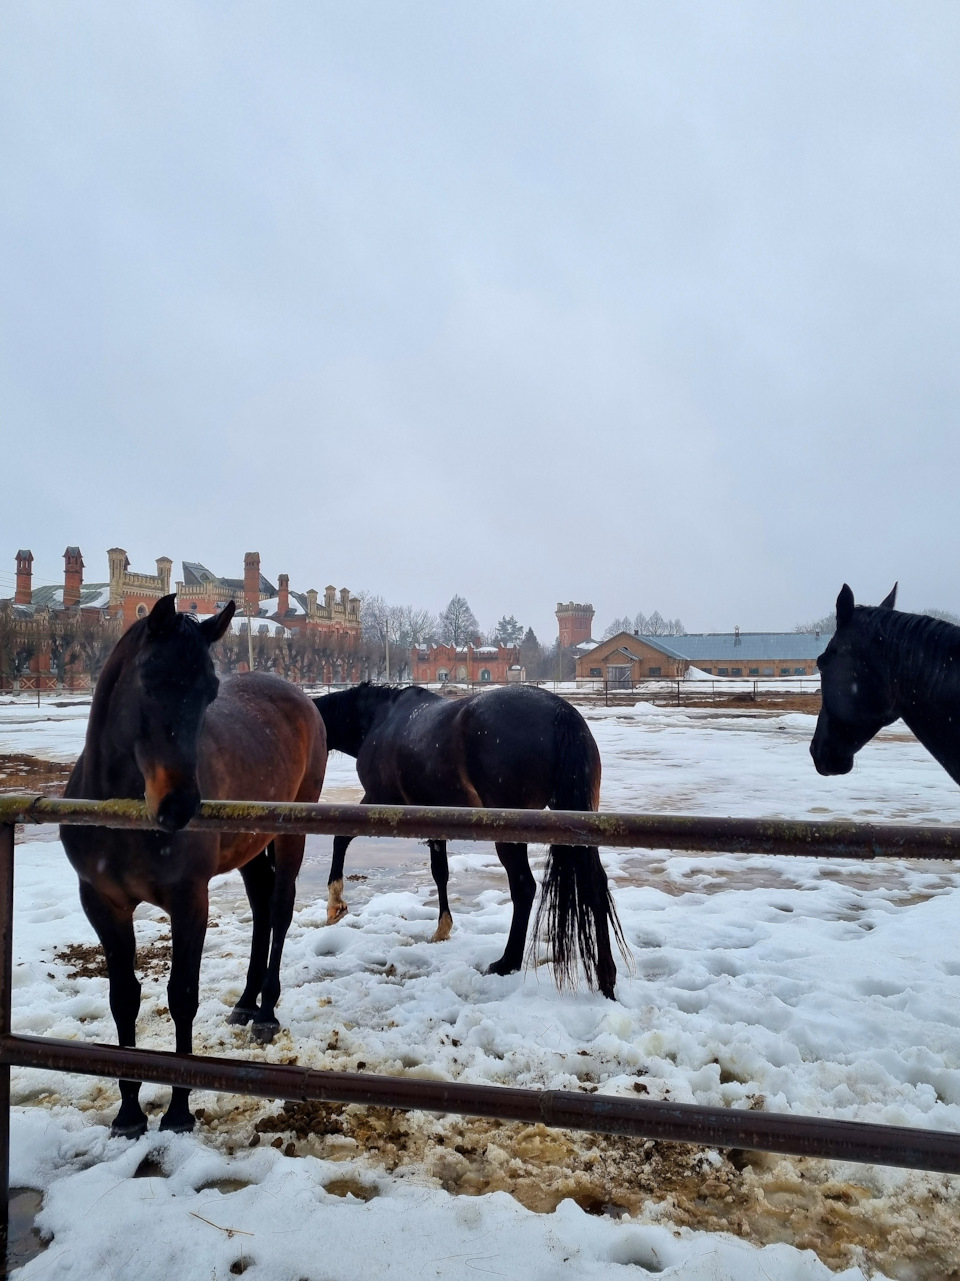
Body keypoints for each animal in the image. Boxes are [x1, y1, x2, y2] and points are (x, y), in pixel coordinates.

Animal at [61, 594, 330, 1137]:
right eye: (149, 679)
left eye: (209, 691)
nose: (179, 806)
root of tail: (301, 698)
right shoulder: (102, 903)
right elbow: (123, 997)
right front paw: (128, 1113)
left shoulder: (189, 901)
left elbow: (182, 993)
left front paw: (179, 1111)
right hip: (250, 847)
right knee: (262, 907)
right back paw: (245, 1003)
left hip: (290, 833)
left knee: (281, 909)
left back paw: (266, 1011)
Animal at [314, 686, 625, 994]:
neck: (380, 719)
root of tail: (560, 712)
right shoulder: (433, 818)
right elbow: (440, 872)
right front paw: (443, 929)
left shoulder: (379, 802)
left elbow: (340, 838)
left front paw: (335, 905)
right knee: (595, 883)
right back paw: (606, 977)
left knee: (524, 887)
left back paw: (507, 962)